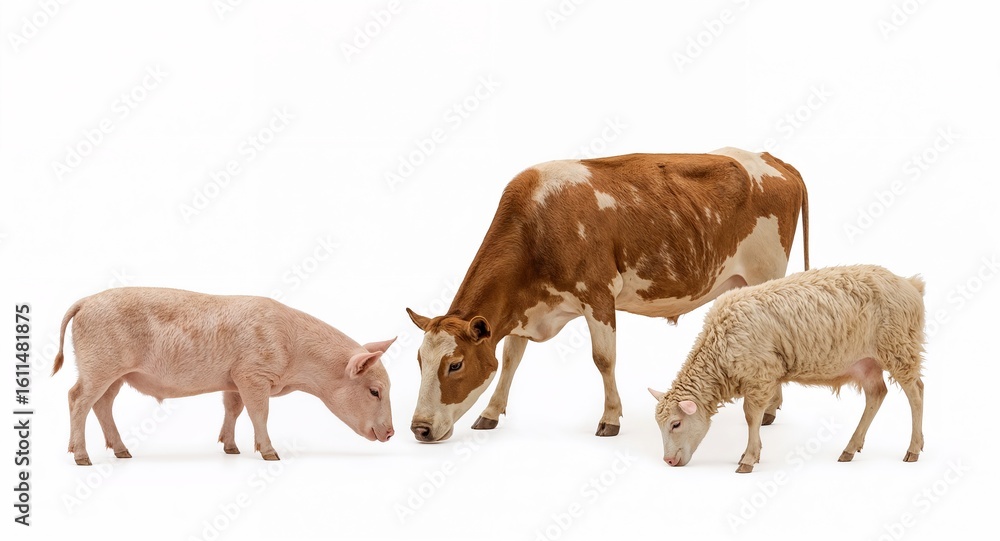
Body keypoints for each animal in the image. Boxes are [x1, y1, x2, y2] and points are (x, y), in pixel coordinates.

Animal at [406, 148, 809, 442]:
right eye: (420, 361)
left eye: (455, 364)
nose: (419, 429)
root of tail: (773, 159)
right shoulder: (523, 309)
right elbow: (510, 360)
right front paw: (490, 413)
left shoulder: (597, 294)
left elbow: (604, 359)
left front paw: (610, 419)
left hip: (767, 272)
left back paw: (768, 409)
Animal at [648, 265, 926, 473]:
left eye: (675, 424)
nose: (668, 461)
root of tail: (910, 284)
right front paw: (750, 454)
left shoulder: (761, 375)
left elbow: (751, 416)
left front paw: (748, 458)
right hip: (867, 362)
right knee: (877, 394)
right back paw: (850, 448)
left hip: (899, 347)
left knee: (916, 393)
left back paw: (913, 448)